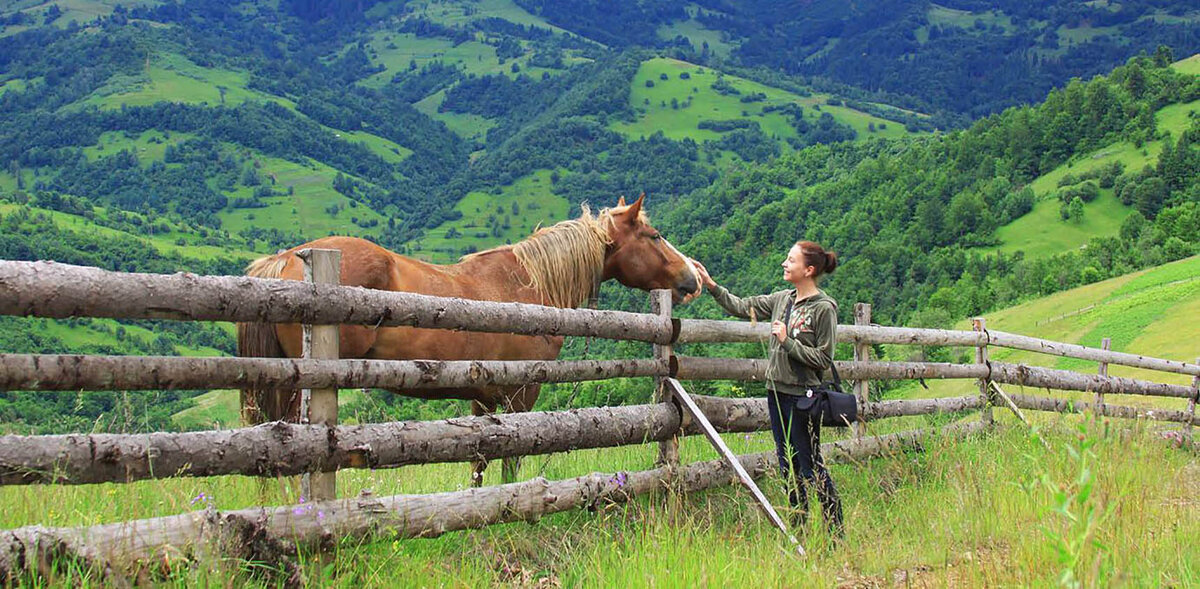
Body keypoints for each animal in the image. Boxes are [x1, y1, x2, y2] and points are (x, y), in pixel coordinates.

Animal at [237, 195, 700, 487]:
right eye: (655, 235)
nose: (692, 279)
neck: (529, 284)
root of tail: (285, 259)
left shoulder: (484, 397)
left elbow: (479, 460)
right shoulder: (520, 394)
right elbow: (512, 457)